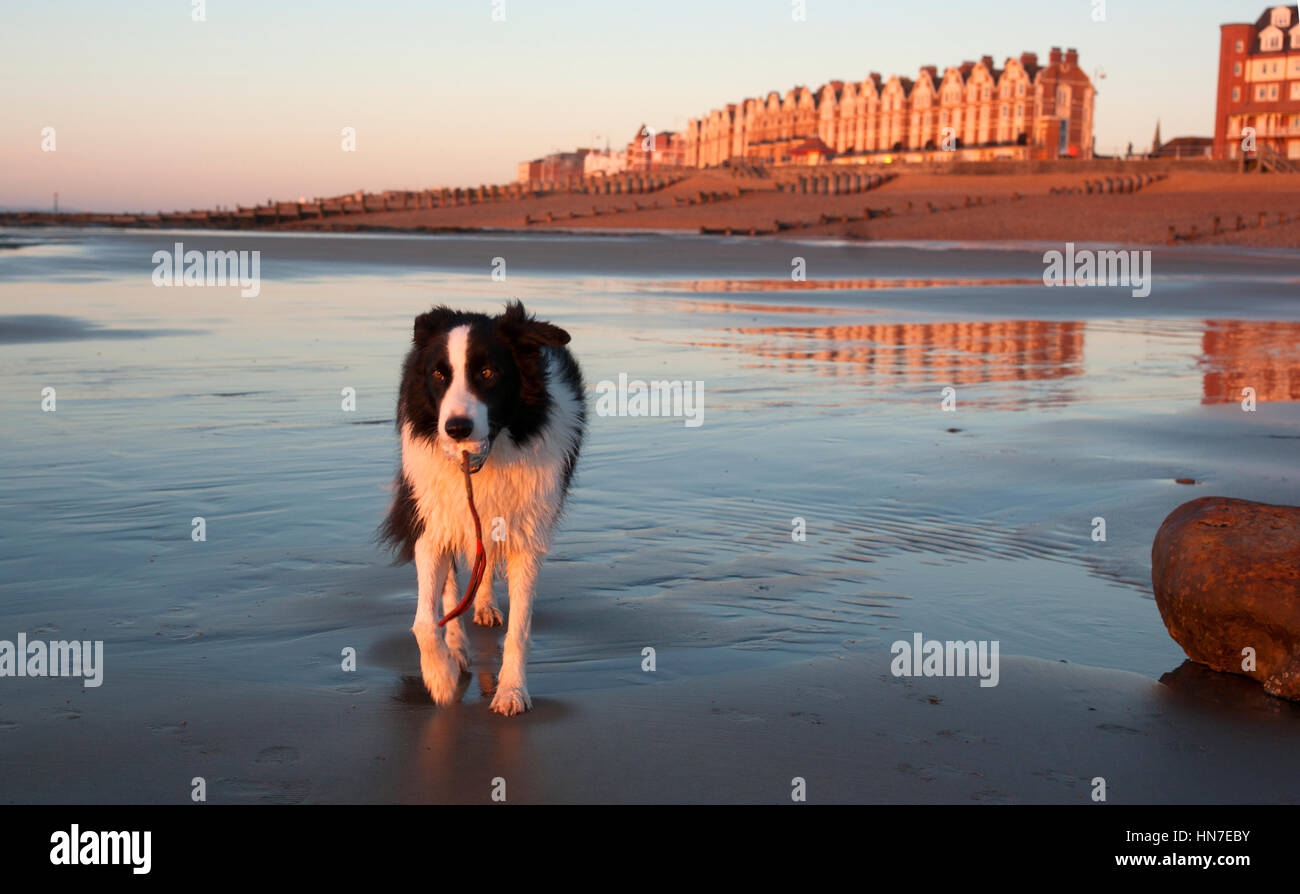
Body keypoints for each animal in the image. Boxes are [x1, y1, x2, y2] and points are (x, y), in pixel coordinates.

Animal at [379, 304, 585, 717]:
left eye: (488, 373)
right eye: (439, 375)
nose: (456, 428)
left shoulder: (527, 534)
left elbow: (520, 628)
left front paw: (511, 692)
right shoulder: (431, 523)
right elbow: (424, 620)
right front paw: (442, 678)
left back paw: (485, 607)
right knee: (453, 585)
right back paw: (457, 648)